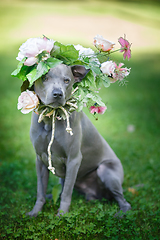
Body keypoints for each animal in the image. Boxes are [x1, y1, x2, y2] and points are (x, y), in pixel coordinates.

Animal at [26, 63, 131, 218]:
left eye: (66, 80)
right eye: (44, 78)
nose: (58, 94)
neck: (51, 119)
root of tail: (95, 195)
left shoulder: (73, 159)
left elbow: (67, 193)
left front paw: (62, 215)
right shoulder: (40, 160)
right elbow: (41, 191)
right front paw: (35, 212)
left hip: (106, 171)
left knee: (123, 201)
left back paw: (121, 213)